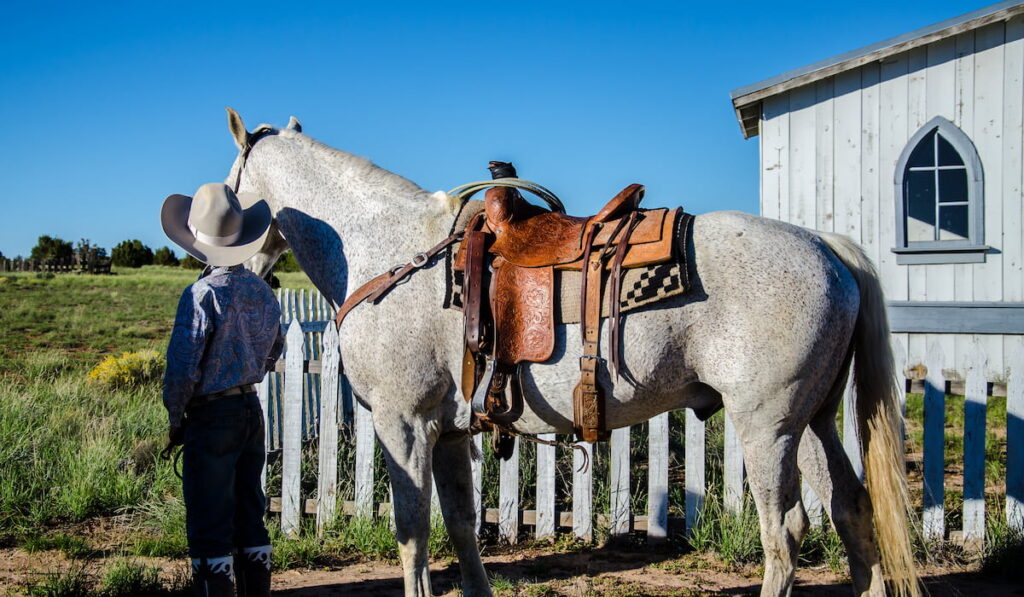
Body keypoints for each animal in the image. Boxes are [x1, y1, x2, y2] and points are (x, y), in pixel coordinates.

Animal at [230, 112, 921, 597]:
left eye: (230, 183)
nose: (227, 269)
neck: (390, 249)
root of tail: (827, 246)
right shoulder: (448, 432)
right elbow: (460, 527)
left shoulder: (404, 425)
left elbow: (413, 535)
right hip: (812, 421)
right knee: (851, 508)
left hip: (768, 425)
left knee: (786, 532)